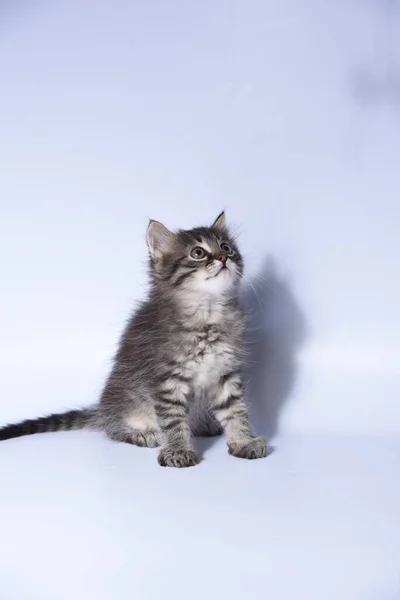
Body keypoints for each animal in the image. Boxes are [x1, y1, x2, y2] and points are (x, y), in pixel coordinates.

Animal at [0, 212, 268, 468]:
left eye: (226, 247)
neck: (208, 313)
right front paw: (177, 450)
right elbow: (173, 419)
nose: (223, 258)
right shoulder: (166, 378)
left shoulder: (226, 372)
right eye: (198, 253)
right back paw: (143, 434)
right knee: (113, 429)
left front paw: (243, 441)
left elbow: (236, 410)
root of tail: (102, 410)